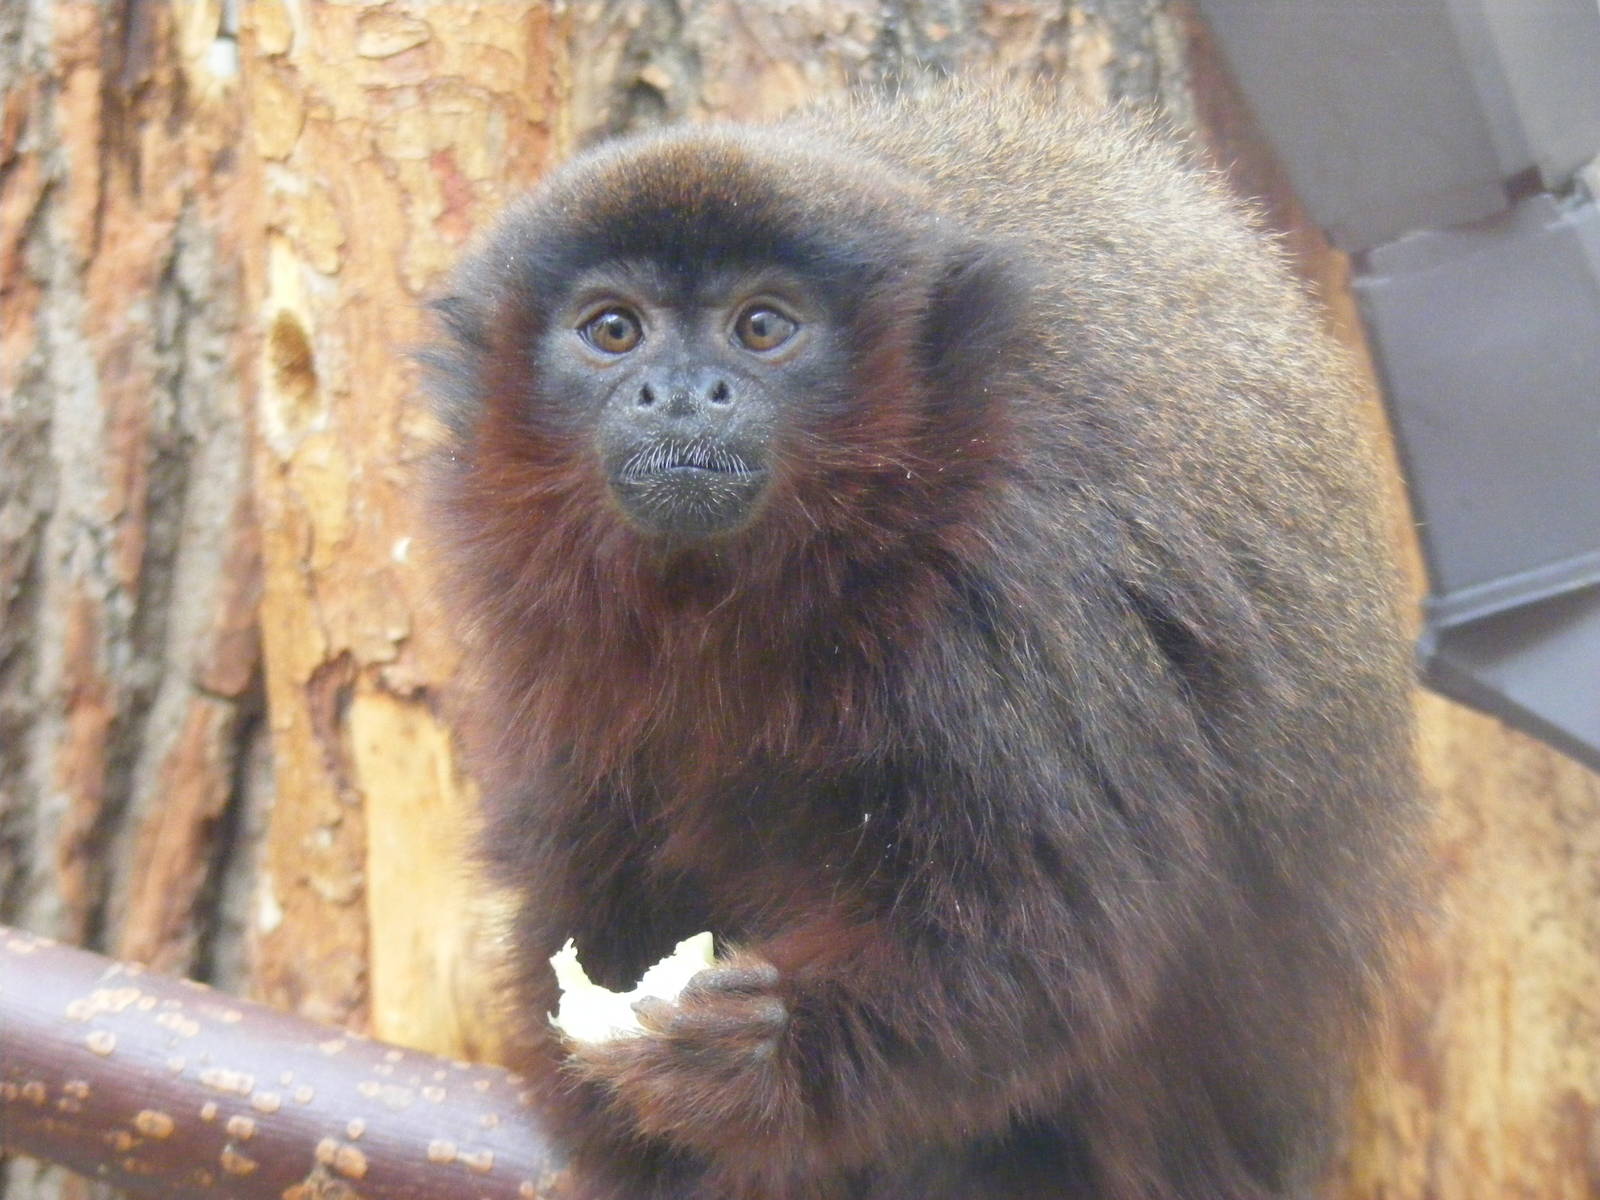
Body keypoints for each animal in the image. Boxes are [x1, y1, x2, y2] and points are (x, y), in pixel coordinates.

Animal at [422, 84, 1418, 1200]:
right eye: (613, 330)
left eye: (761, 327)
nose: (678, 394)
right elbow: (581, 845)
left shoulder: (1031, 573)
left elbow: (1048, 935)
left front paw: (757, 1052)